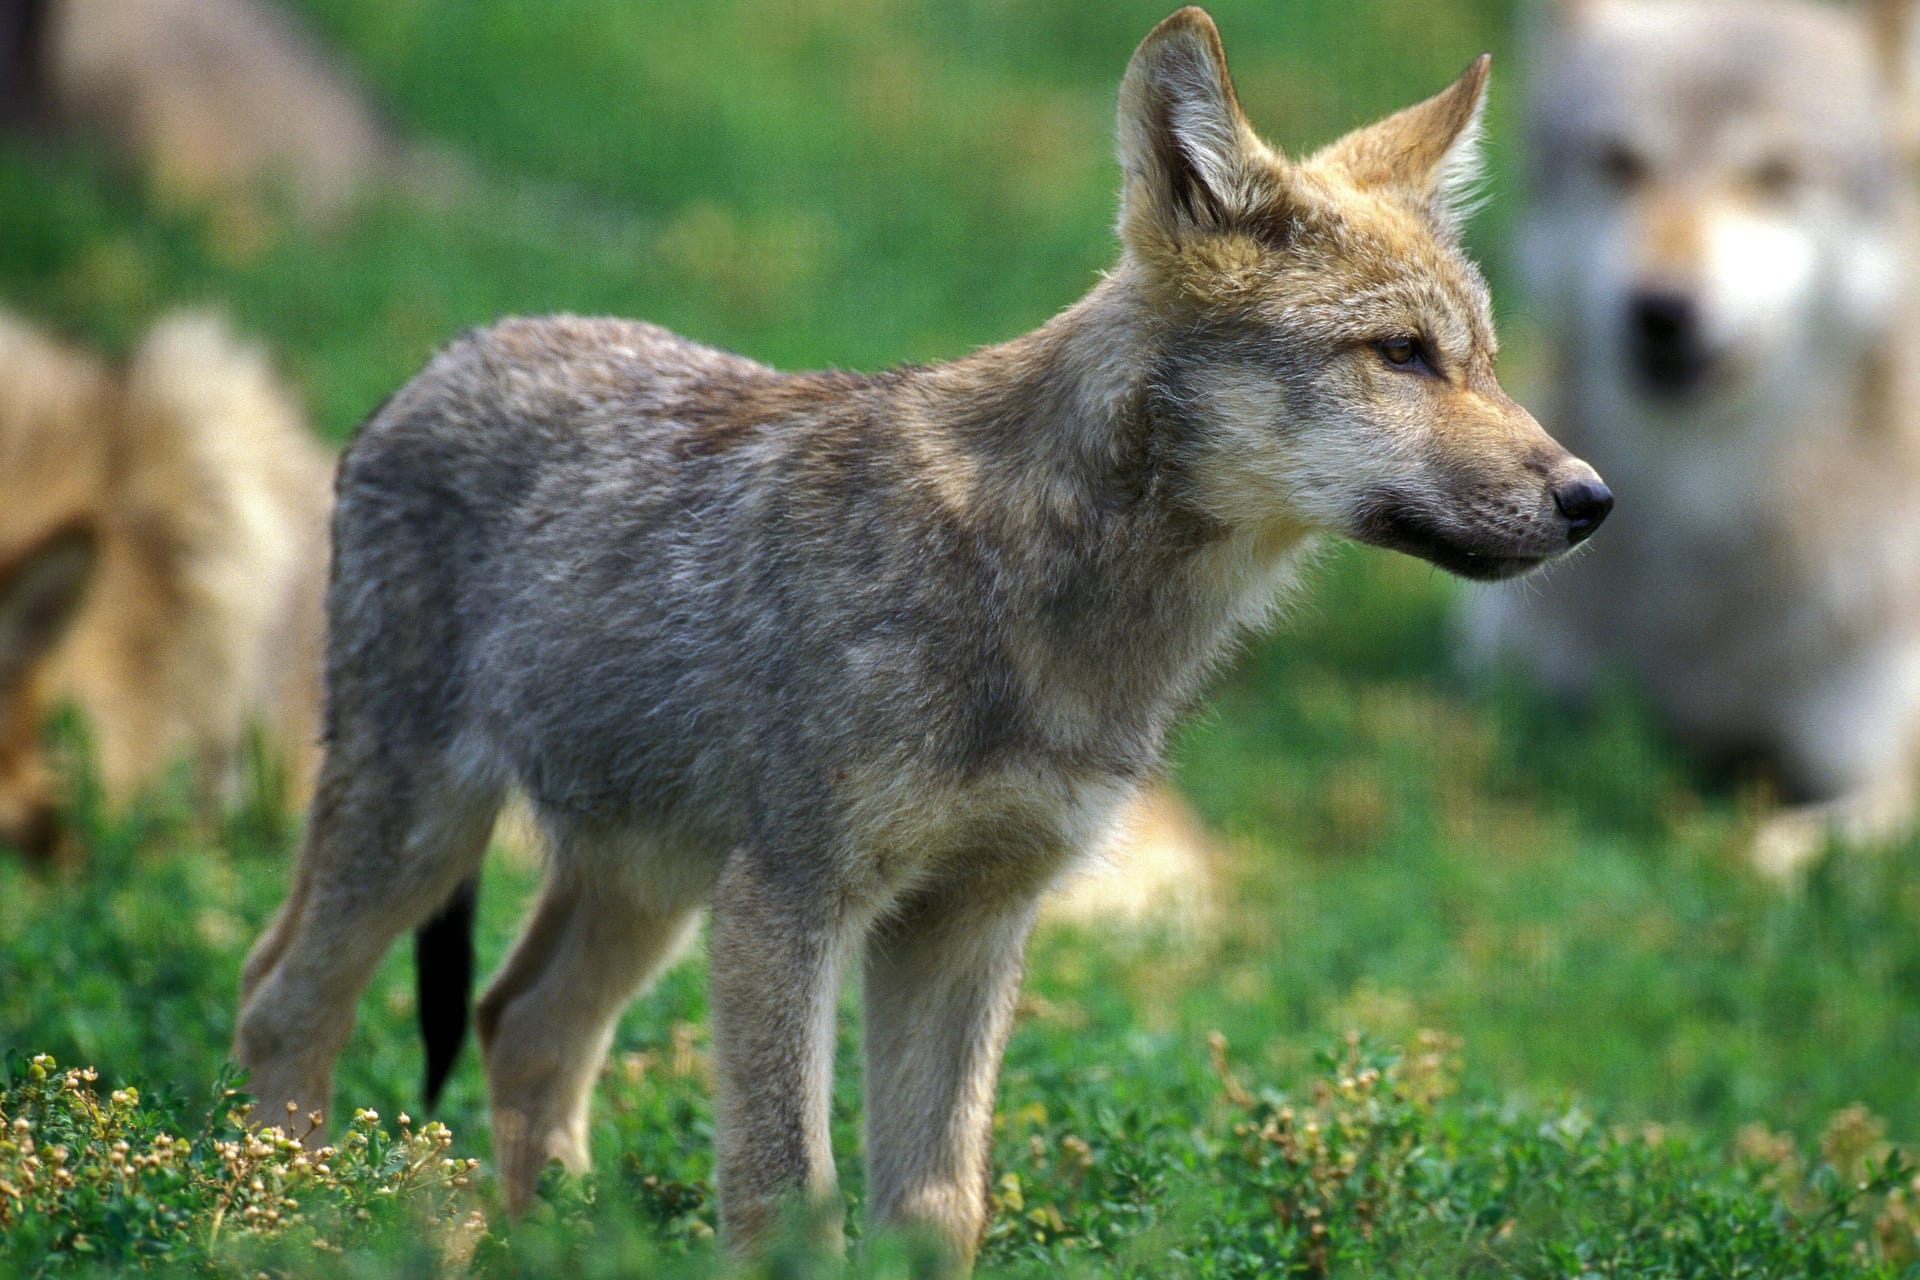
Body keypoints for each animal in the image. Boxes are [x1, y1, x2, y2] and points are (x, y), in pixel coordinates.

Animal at [228, 7, 1605, 1274]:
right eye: (1401, 355)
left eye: (1486, 362)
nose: (1592, 498)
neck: (1050, 611)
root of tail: (446, 354)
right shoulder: (795, 899)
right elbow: (790, 1199)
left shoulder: (971, 919)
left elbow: (939, 1205)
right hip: (428, 830)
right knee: (277, 998)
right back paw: (290, 1220)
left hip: (648, 880)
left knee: (521, 1020)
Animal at [1451, 0, 1920, 875]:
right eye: (1620, 162)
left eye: (1775, 175)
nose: (1661, 309)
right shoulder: (1498, 685)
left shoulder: (1883, 779)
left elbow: (1768, 854)